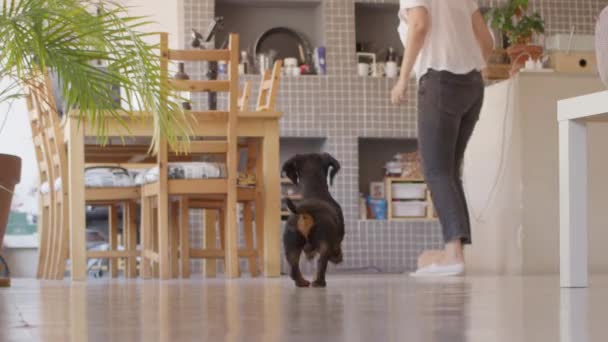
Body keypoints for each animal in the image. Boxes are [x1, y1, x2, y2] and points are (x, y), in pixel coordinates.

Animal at [282, 154, 344, 288]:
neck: (314, 192)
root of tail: (305, 211)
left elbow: (308, 250)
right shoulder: (336, 238)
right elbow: (337, 247)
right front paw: (337, 257)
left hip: (291, 245)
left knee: (293, 267)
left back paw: (302, 282)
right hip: (325, 243)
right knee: (322, 263)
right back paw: (319, 282)